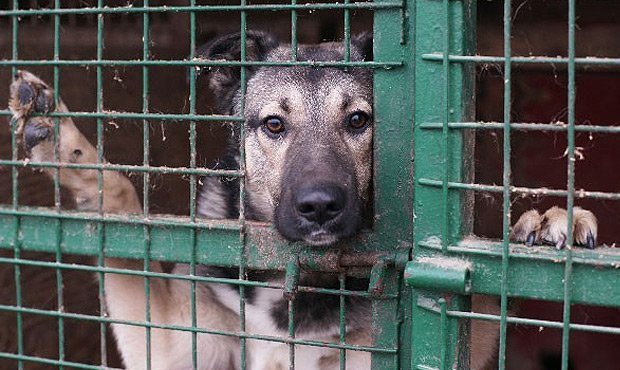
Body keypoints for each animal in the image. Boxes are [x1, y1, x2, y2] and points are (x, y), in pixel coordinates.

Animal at [9, 31, 600, 370]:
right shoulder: (175, 345)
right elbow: (124, 223)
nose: (319, 206)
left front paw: (544, 222)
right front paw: (66, 148)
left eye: (359, 120)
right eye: (274, 124)